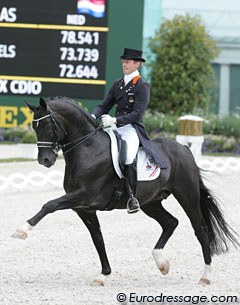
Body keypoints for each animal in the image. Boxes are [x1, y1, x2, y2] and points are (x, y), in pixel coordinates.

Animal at [12, 97, 238, 284]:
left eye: (47, 125)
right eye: (34, 126)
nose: (45, 160)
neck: (87, 147)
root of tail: (184, 149)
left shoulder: (83, 196)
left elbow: (49, 204)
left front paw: (22, 230)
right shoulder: (84, 208)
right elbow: (98, 239)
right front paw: (103, 275)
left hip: (187, 196)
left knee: (200, 229)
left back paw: (206, 277)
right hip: (150, 202)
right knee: (170, 222)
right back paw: (162, 264)